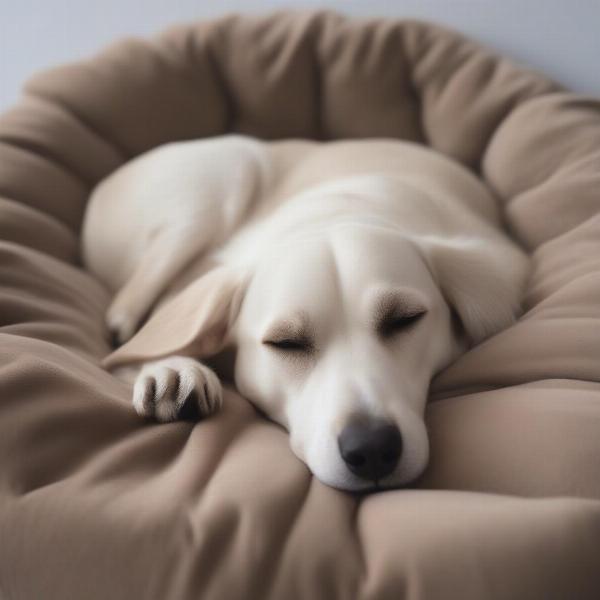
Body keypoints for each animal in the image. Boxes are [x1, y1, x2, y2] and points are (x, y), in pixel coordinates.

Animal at [82, 137, 528, 492]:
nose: (372, 449)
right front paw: (169, 369)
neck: (334, 213)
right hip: (221, 182)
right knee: (124, 319)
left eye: (405, 319)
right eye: (285, 343)